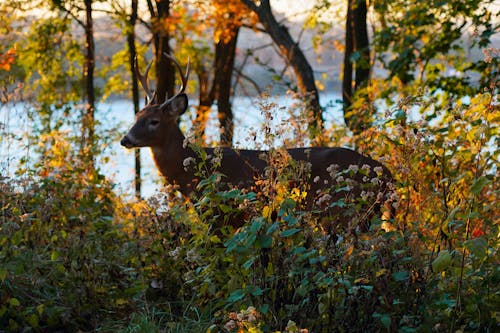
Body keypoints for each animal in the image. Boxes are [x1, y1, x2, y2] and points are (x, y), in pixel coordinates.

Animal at [121, 53, 394, 232]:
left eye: (154, 121)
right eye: (136, 116)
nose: (126, 139)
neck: (193, 173)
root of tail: (388, 176)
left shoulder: (221, 213)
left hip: (342, 211)